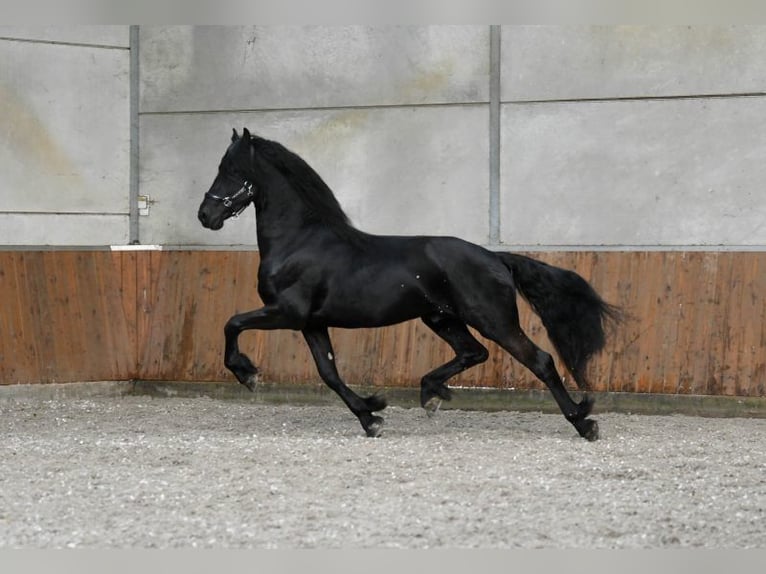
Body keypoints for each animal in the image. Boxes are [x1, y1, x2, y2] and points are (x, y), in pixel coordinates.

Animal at [197, 128, 620, 441]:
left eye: (230, 169)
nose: (205, 215)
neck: (299, 241)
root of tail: (494, 257)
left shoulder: (287, 312)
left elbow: (232, 323)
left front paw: (247, 374)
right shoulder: (312, 323)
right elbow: (329, 374)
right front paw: (371, 415)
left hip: (493, 320)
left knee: (539, 360)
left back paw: (584, 422)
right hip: (441, 318)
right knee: (474, 352)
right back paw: (430, 393)